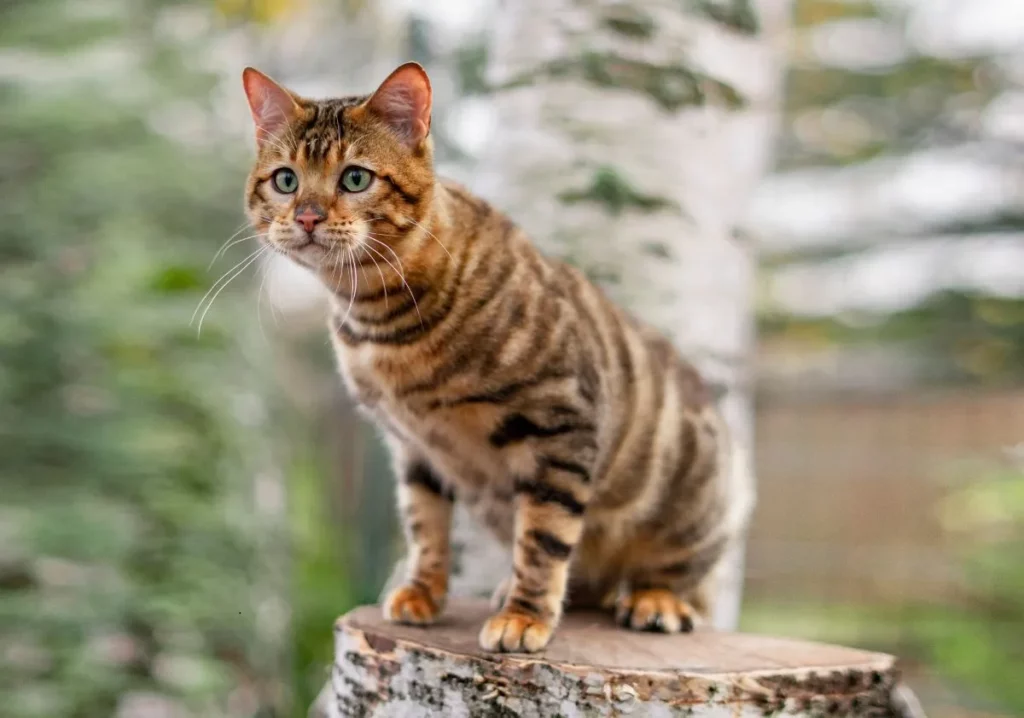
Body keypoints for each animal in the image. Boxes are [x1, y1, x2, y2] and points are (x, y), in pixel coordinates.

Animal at [239, 61, 753, 651]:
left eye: (355, 178)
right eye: (285, 180)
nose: (305, 216)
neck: (381, 323)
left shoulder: (561, 425)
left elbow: (544, 538)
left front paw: (525, 617)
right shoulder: (414, 448)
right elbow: (425, 524)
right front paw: (423, 592)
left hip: (695, 501)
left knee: (683, 577)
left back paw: (655, 600)